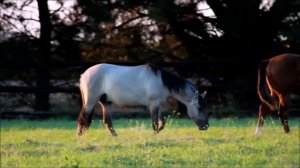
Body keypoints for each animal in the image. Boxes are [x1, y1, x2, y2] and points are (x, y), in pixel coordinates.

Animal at [77, 63, 209, 136]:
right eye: (200, 108)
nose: (206, 126)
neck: (161, 81)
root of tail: (84, 74)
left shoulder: (158, 105)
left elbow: (162, 123)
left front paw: (155, 134)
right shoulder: (153, 104)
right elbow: (155, 123)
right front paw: (153, 135)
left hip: (104, 102)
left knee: (107, 121)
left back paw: (116, 136)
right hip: (91, 101)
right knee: (83, 117)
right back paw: (79, 135)